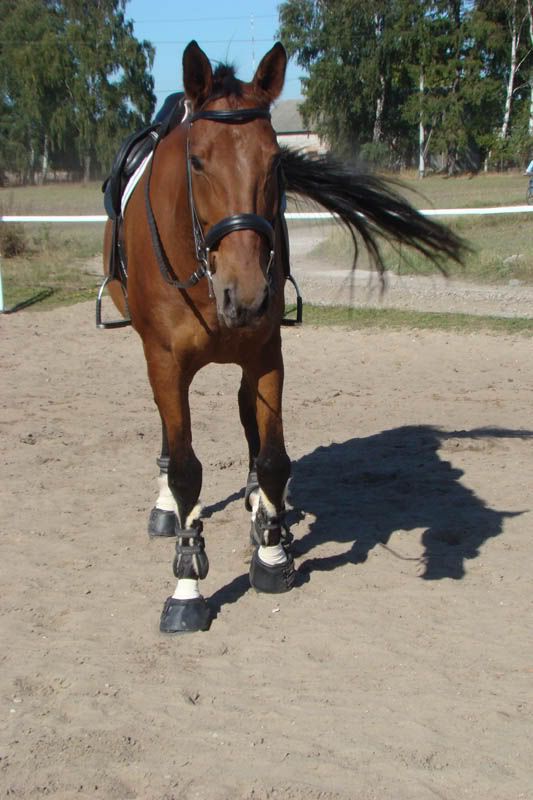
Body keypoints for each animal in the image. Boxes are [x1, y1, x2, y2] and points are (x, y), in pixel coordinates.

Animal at [102, 40, 464, 633]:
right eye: (197, 161)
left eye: (276, 162)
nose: (245, 295)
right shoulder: (166, 363)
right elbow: (186, 471)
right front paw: (187, 585)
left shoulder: (267, 353)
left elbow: (272, 457)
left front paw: (271, 553)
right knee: (171, 439)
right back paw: (168, 509)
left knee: (249, 419)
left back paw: (260, 507)